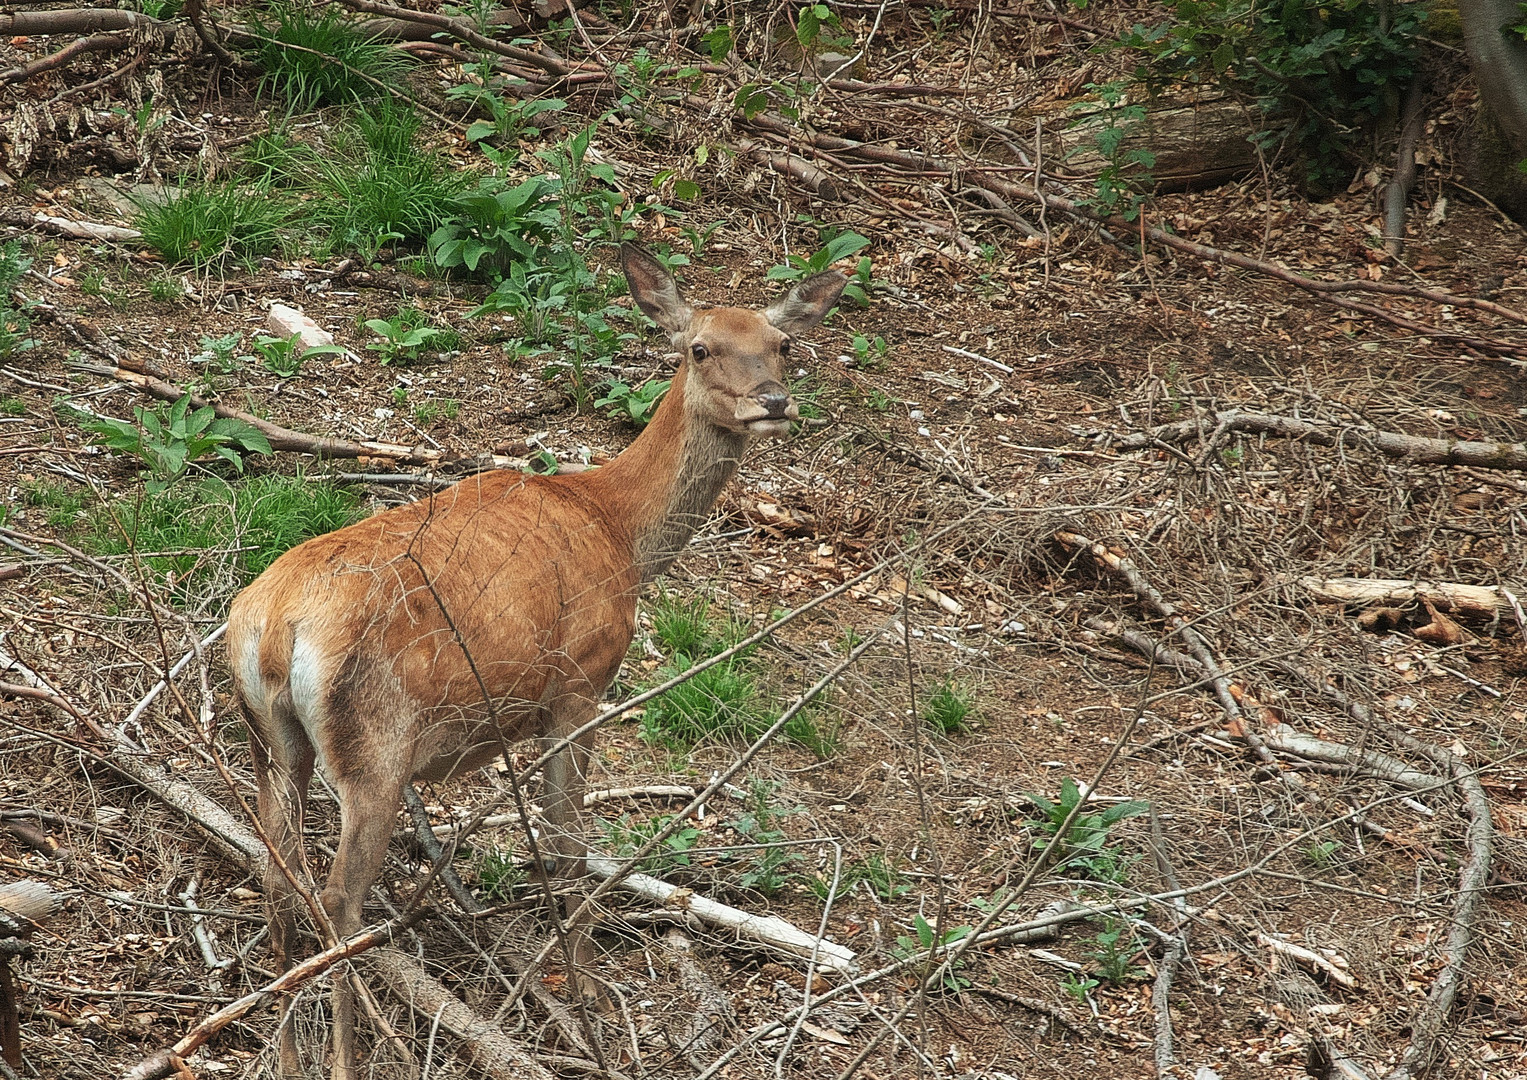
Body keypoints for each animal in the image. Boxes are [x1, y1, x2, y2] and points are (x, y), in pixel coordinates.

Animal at [225, 244, 849, 1080]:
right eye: (699, 347)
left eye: (781, 344)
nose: (773, 402)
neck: (619, 529)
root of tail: (273, 627)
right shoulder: (581, 685)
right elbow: (566, 851)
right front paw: (588, 1014)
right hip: (374, 748)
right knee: (337, 900)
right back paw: (347, 1058)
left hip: (269, 738)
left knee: (277, 872)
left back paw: (289, 1050)